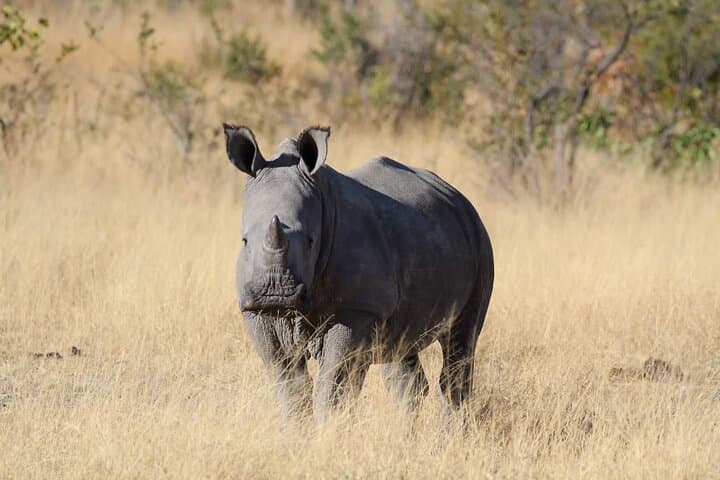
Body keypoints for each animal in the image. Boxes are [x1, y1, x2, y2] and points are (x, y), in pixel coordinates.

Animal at [224, 124, 494, 421]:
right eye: (244, 241)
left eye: (311, 241)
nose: (275, 295)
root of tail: (459, 197)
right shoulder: (256, 311)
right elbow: (290, 386)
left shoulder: (358, 309)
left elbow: (333, 387)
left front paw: (328, 429)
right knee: (401, 353)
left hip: (479, 240)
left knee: (461, 342)